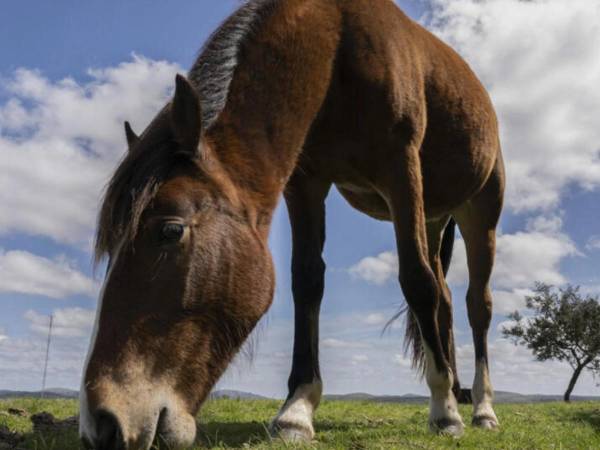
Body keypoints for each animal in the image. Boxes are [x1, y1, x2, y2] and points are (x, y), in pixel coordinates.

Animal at [78, 0, 502, 448]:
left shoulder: (401, 170)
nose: (102, 422)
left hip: (480, 213)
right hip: (435, 217)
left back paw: (481, 408)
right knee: (446, 300)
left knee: (476, 305)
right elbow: (307, 283)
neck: (338, 48)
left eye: (171, 230)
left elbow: (417, 282)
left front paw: (444, 410)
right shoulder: (305, 182)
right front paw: (296, 410)